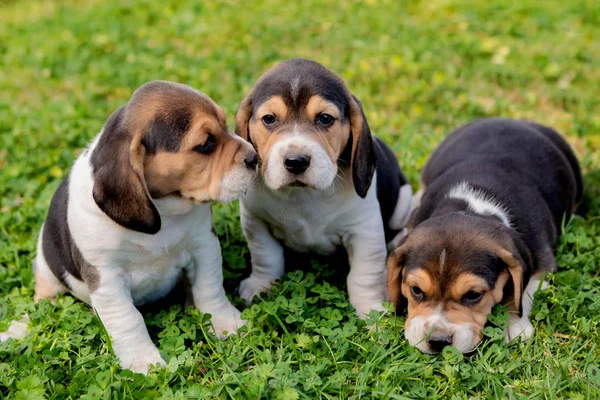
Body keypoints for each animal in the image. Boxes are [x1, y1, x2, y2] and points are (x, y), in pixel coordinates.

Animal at [0, 82, 258, 376]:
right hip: (46, 266)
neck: (165, 208)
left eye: (226, 125)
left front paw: (226, 322)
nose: (255, 157)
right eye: (206, 144)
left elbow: (210, 288)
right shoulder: (107, 278)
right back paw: (18, 328)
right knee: (42, 301)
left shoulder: (204, 245)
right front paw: (142, 361)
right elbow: (127, 318)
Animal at [233, 58, 412, 316]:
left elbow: (364, 275)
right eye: (269, 119)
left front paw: (370, 311)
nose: (296, 161)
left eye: (325, 118)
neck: (303, 195)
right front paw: (260, 285)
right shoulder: (256, 222)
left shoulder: (364, 231)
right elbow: (266, 256)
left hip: (404, 201)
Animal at [390, 118, 580, 354]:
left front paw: (515, 325)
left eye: (473, 295)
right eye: (416, 290)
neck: (471, 206)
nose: (438, 341)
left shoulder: (542, 263)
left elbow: (522, 292)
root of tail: (513, 120)